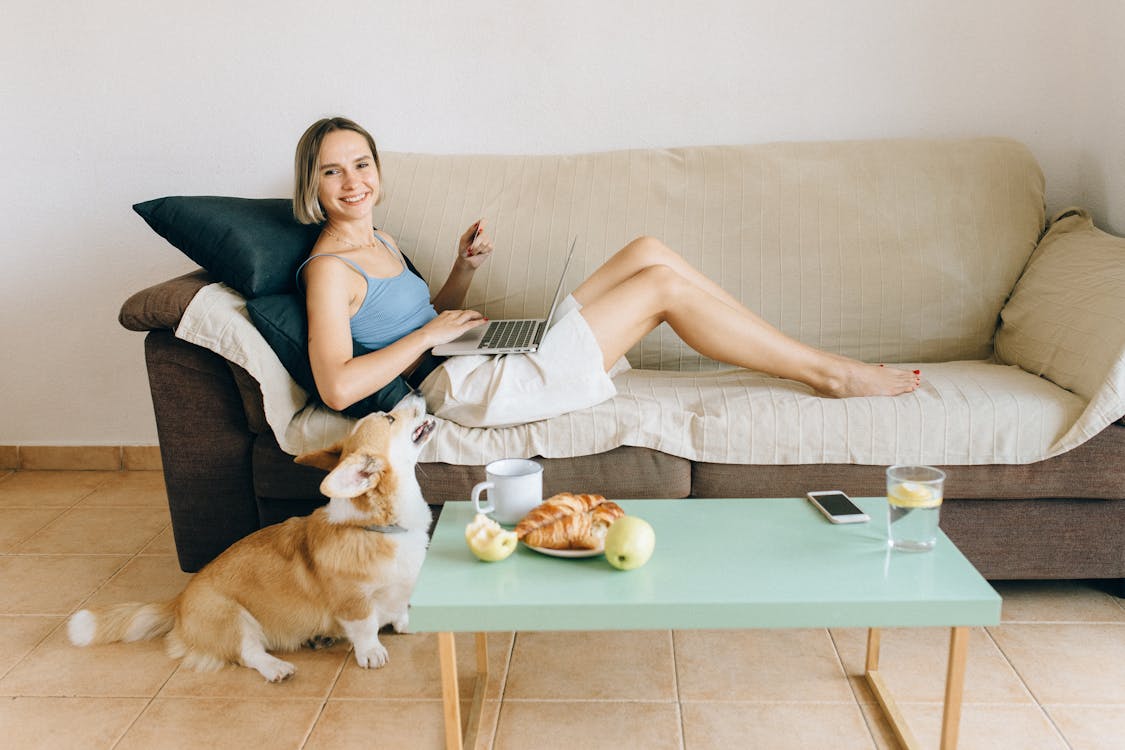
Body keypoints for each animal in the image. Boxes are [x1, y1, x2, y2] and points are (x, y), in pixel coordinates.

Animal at [65, 395, 434, 683]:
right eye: (389, 417)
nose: (416, 391)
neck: (378, 526)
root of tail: (179, 601)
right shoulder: (353, 602)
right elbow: (365, 627)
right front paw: (372, 653)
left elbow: (399, 610)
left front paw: (406, 623)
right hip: (233, 618)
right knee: (248, 653)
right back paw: (277, 668)